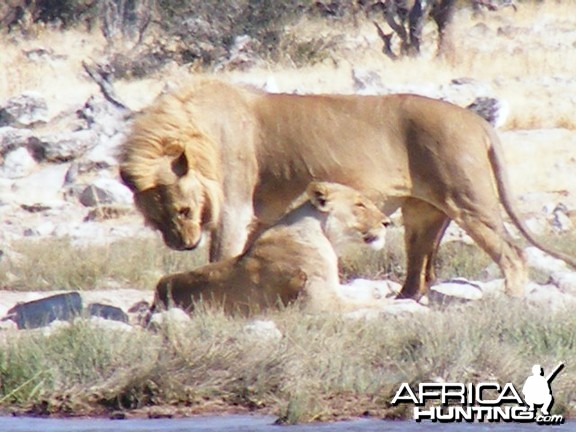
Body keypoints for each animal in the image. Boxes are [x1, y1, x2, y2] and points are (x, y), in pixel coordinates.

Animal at [119, 79, 572, 298]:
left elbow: (221, 255)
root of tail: (476, 119)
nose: (181, 245)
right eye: (155, 218)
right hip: (423, 212)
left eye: (182, 210)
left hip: (469, 200)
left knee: (512, 253)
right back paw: (401, 301)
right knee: (420, 270)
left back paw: (511, 298)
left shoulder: (234, 206)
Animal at [150, 181, 392, 316]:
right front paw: (398, 306)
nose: (388, 223)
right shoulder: (320, 304)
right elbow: (372, 306)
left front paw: (383, 290)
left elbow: (361, 294)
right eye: (360, 204)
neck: (324, 236)